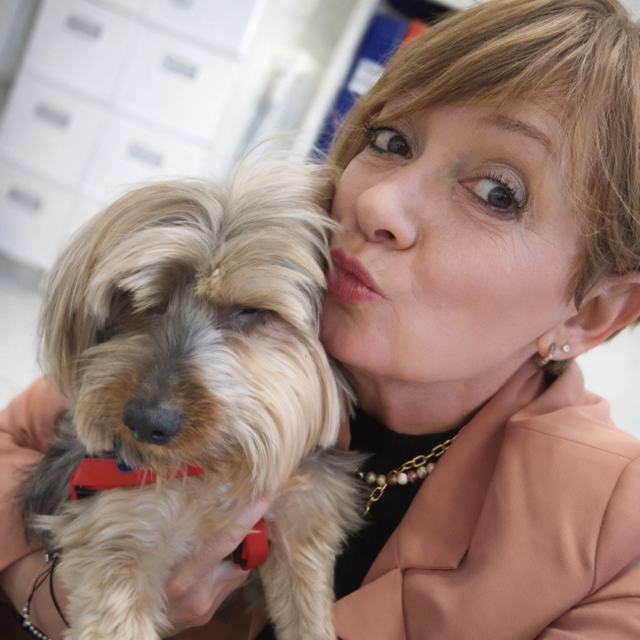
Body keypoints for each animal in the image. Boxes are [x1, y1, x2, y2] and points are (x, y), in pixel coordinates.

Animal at [21, 157, 362, 640]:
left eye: (251, 310)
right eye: (136, 302)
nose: (145, 421)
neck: (215, 468)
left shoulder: (302, 515)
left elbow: (306, 607)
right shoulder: (118, 531)